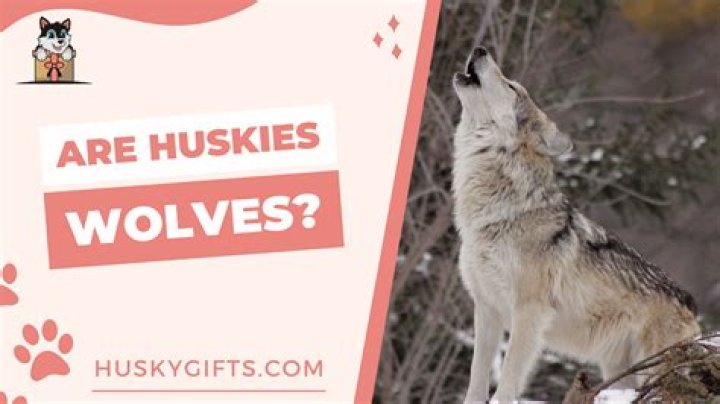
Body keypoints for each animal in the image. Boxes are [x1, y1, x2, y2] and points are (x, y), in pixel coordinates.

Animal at [452, 46, 700, 402]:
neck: (499, 212)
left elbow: (509, 380)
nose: (480, 49)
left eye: (511, 86)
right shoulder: (486, 308)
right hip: (618, 374)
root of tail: (691, 306)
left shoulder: (529, 312)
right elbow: (476, 379)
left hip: (652, 371)